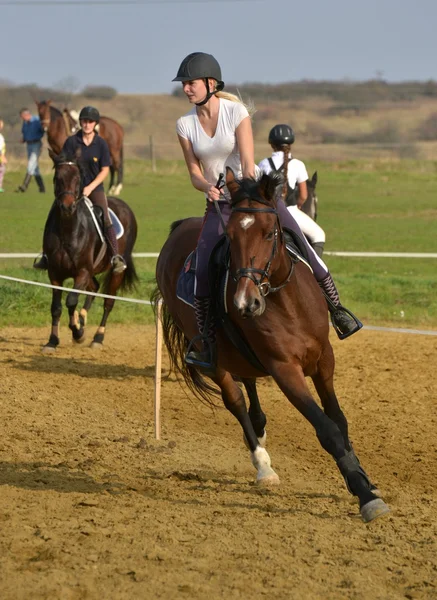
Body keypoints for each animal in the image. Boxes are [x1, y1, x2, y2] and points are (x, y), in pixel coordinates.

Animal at [41, 150, 136, 354]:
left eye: (78, 178)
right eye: (57, 178)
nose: (67, 207)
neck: (68, 230)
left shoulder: (82, 272)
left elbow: (71, 300)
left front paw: (78, 333)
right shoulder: (55, 274)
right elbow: (56, 307)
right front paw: (52, 341)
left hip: (115, 271)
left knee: (108, 302)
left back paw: (97, 337)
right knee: (94, 288)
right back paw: (83, 318)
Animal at [152, 168, 388, 520]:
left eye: (267, 234)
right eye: (230, 236)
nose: (245, 302)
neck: (287, 301)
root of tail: (179, 229)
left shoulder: (324, 358)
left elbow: (339, 420)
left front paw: (362, 479)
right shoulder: (285, 370)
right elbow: (327, 429)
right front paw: (364, 494)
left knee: (249, 383)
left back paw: (260, 427)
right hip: (215, 360)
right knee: (236, 401)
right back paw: (262, 464)